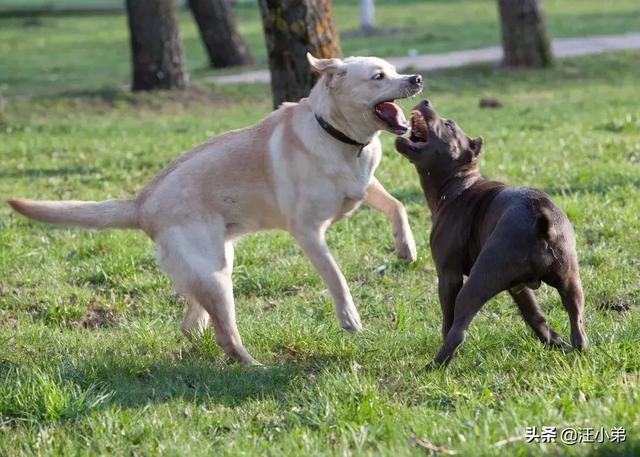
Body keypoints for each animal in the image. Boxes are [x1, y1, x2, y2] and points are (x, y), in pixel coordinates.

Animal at [398, 100, 588, 366]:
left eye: (449, 125)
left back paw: (435, 365)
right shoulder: (517, 286)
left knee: (458, 329)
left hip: (476, 284)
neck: (458, 184)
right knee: (577, 321)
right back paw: (575, 349)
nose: (425, 101)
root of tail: (540, 215)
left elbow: (448, 319)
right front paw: (553, 341)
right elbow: (533, 313)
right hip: (570, 280)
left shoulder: (448, 276)